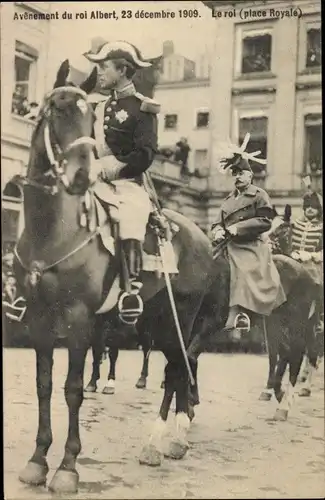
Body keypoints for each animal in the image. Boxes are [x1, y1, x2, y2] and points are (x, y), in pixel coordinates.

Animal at [13, 59, 225, 492]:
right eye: (58, 108)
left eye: (91, 116)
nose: (82, 176)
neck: (52, 230)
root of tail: (199, 233)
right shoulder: (39, 320)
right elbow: (44, 385)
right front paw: (38, 460)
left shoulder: (78, 321)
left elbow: (73, 389)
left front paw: (67, 467)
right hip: (155, 318)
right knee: (176, 369)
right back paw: (160, 442)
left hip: (177, 319)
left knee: (178, 369)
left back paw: (168, 440)